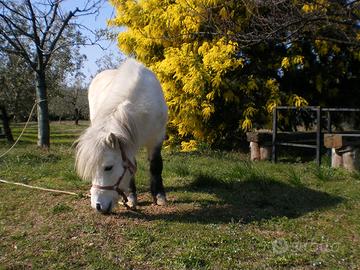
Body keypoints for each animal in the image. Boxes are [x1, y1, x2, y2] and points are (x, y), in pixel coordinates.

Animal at [75, 58, 167, 213]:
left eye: (108, 167)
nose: (97, 206)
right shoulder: (129, 142)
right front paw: (131, 197)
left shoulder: (157, 137)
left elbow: (156, 165)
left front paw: (160, 196)